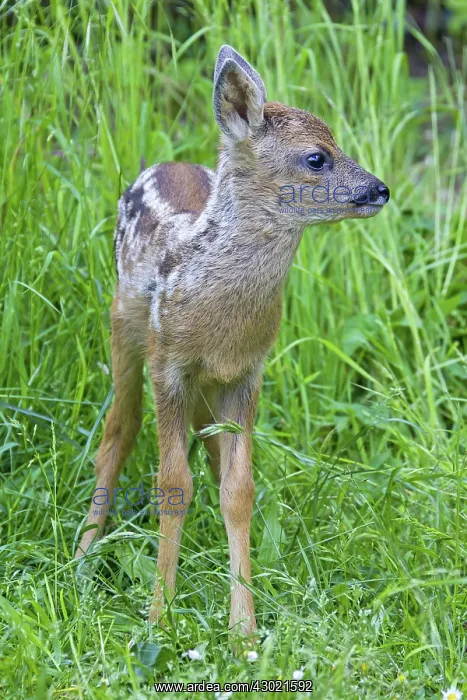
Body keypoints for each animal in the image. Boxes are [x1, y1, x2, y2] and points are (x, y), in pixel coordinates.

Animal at [75, 45, 389, 644]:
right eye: (317, 157)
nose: (379, 189)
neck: (220, 316)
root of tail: (165, 163)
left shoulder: (247, 372)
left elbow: (237, 488)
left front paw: (243, 628)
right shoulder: (170, 365)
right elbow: (172, 484)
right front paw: (159, 618)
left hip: (208, 387)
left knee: (213, 455)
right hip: (123, 327)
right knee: (118, 428)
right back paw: (82, 555)